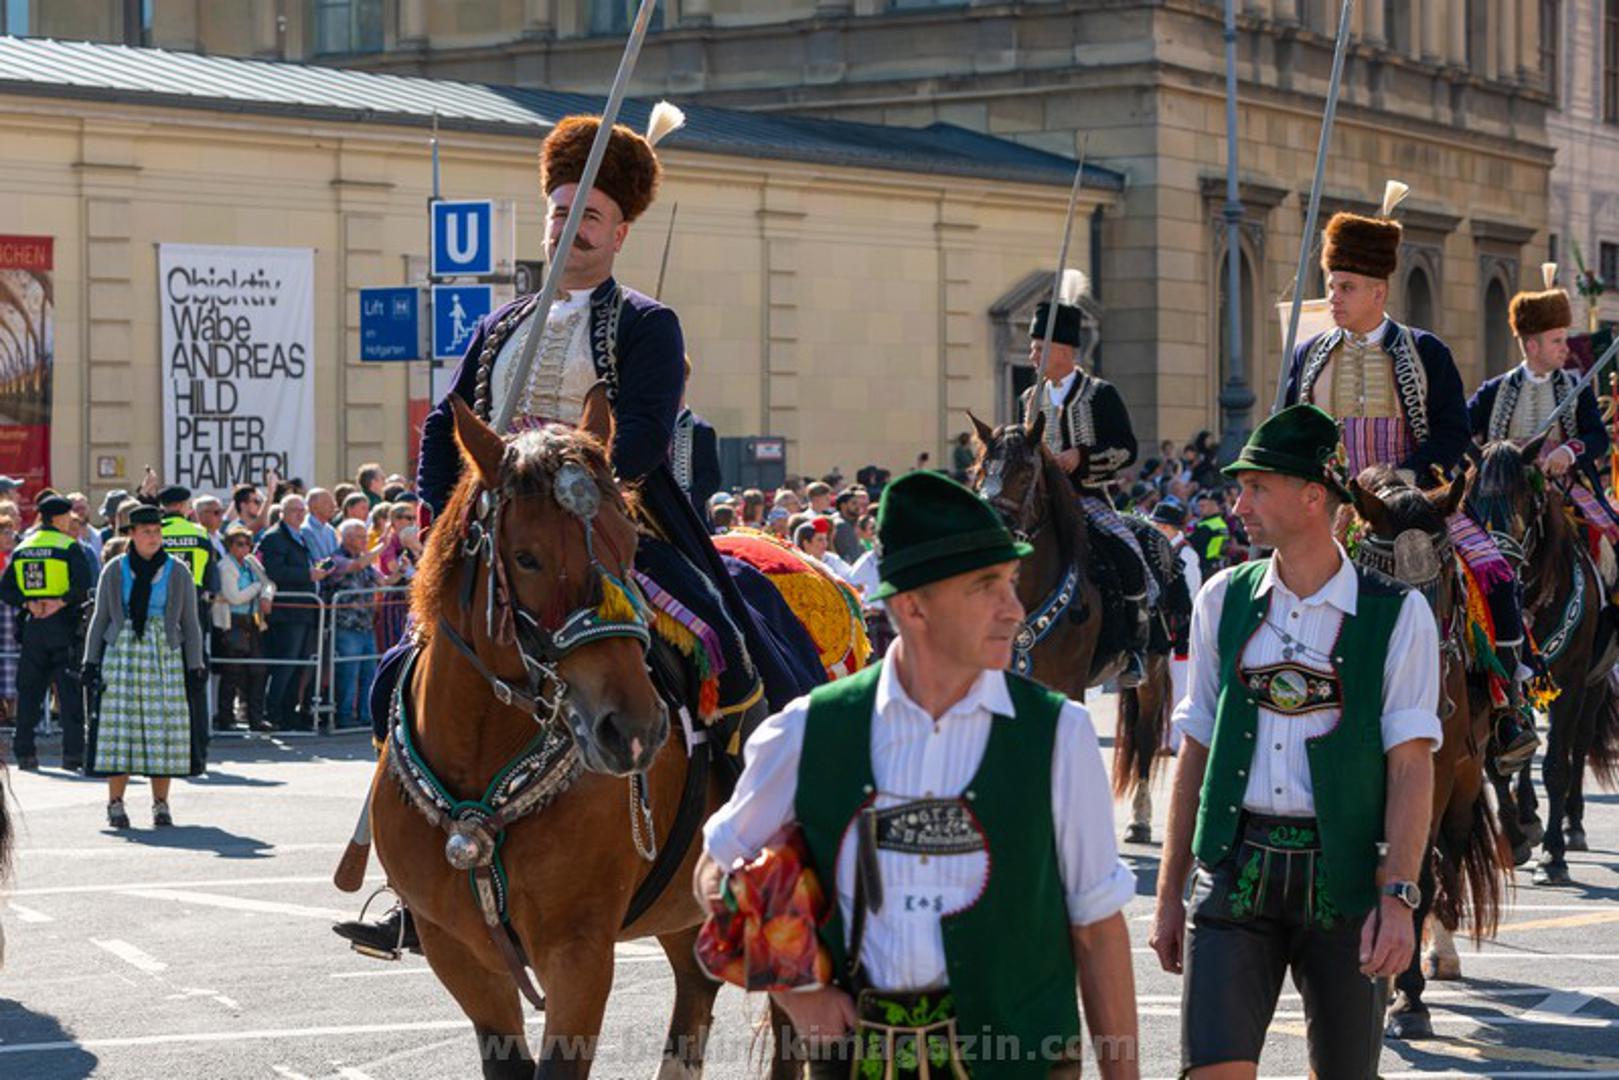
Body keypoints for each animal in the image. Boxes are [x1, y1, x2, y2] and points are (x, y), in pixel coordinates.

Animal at [370, 391, 765, 1079]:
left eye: (631, 543)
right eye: (526, 556)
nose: (632, 728)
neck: (483, 764)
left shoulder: (579, 952)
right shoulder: (458, 953)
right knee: (696, 991)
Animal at [966, 412, 1176, 833]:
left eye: (1025, 472)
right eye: (980, 469)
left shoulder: (1069, 685)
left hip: (1155, 667)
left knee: (1144, 734)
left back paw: (1141, 816)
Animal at [1347, 465, 1512, 1040]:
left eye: (1446, 585)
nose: (1426, 696)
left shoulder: (1433, 772)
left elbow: (1417, 871)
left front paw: (1408, 999)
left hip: (1464, 777)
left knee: (1449, 856)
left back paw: (1439, 953)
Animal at [1472, 435, 1619, 887]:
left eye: (1524, 500)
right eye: (1474, 503)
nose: (1500, 573)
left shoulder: (1570, 681)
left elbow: (1557, 764)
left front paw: (1552, 856)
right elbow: (1495, 762)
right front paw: (1517, 838)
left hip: (1594, 681)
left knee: (1579, 744)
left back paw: (1572, 825)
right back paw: (1528, 813)